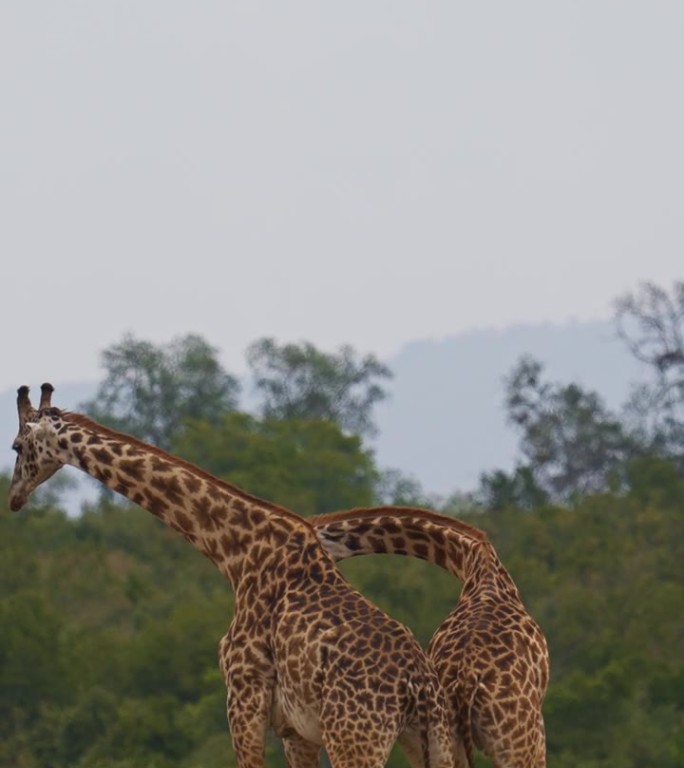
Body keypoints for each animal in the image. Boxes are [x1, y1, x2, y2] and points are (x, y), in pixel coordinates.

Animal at [8, 384, 464, 768]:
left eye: (15, 445)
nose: (13, 497)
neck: (235, 553)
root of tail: (417, 688)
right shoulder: (295, 730)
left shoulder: (243, 696)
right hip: (435, 743)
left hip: (356, 739)